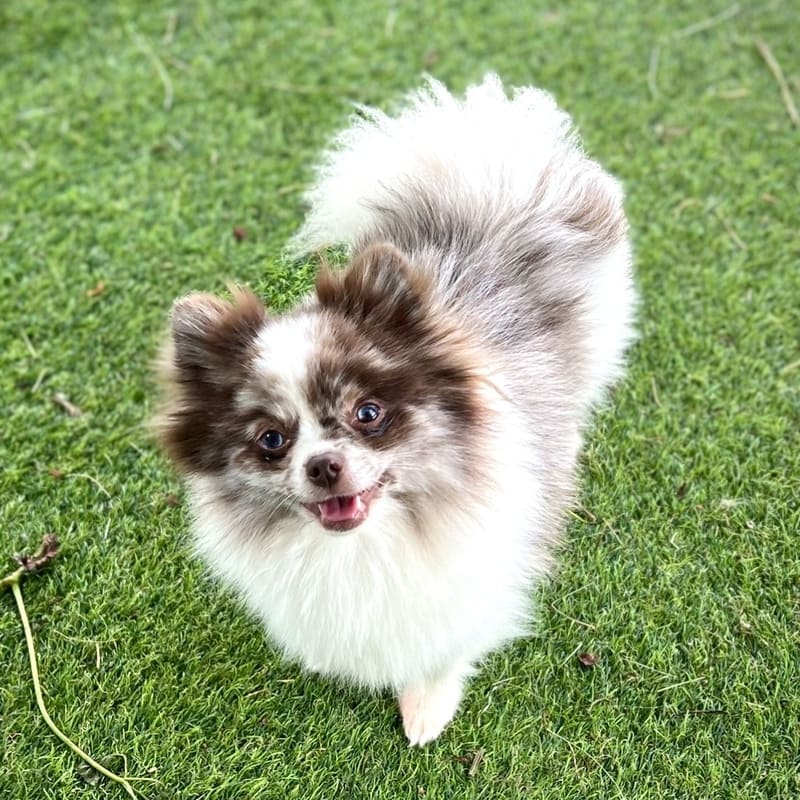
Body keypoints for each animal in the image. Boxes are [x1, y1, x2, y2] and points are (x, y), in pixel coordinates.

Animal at [153, 73, 636, 744]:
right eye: (272, 439)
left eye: (368, 413)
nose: (323, 466)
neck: (367, 544)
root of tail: (483, 169)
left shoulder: (470, 581)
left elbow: (444, 648)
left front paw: (426, 706)